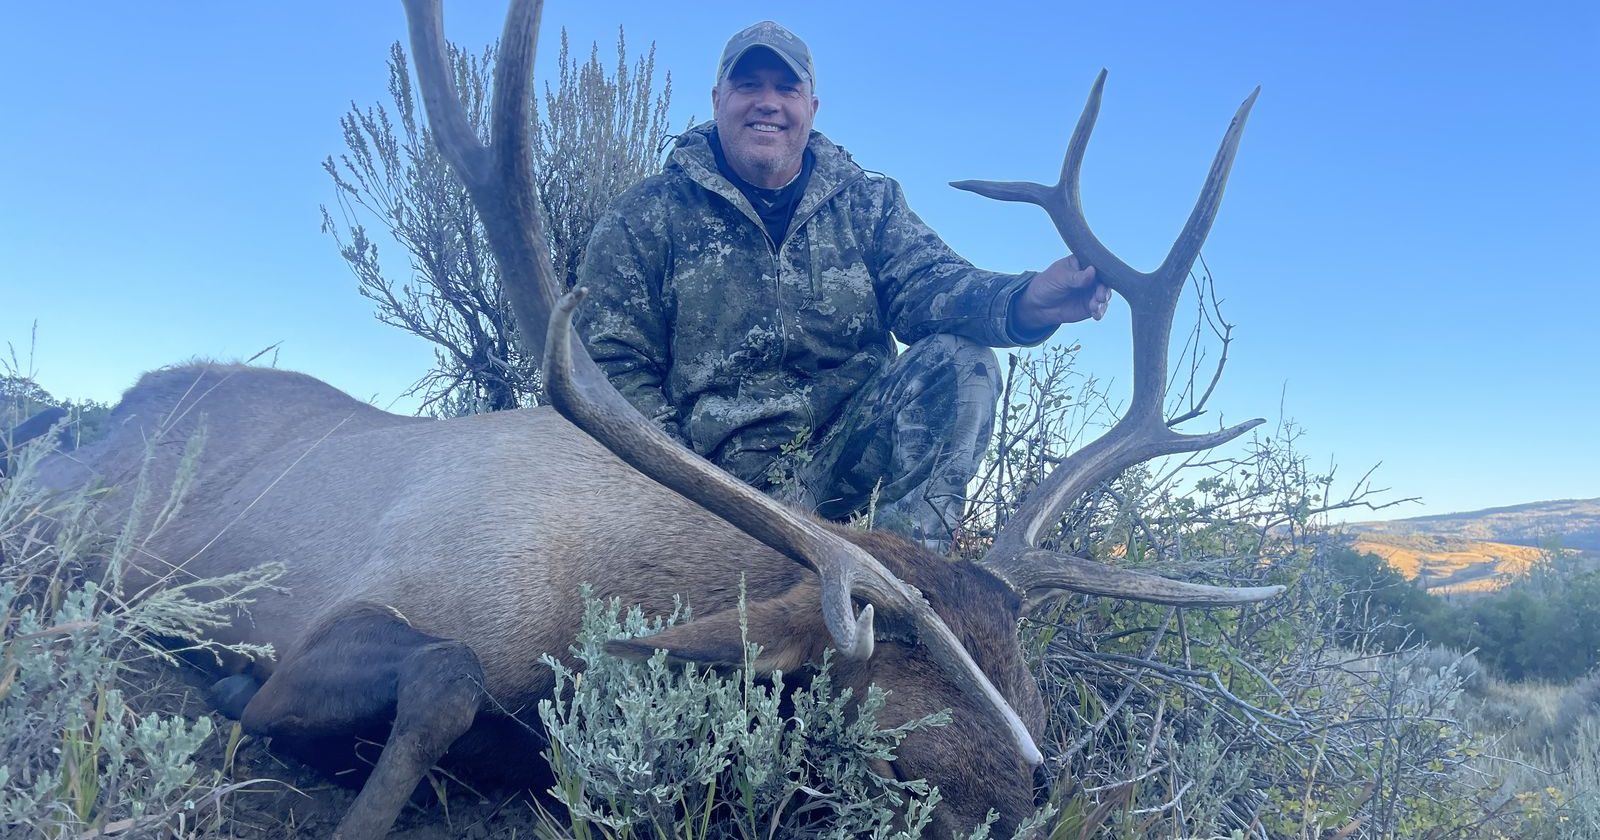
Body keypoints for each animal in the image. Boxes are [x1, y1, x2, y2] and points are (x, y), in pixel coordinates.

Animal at [18, 1, 1276, 836]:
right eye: (899, 695)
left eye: (1025, 678)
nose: (1039, 789)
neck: (592, 584)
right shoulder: (345, 602)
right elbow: (438, 678)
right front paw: (253, 714)